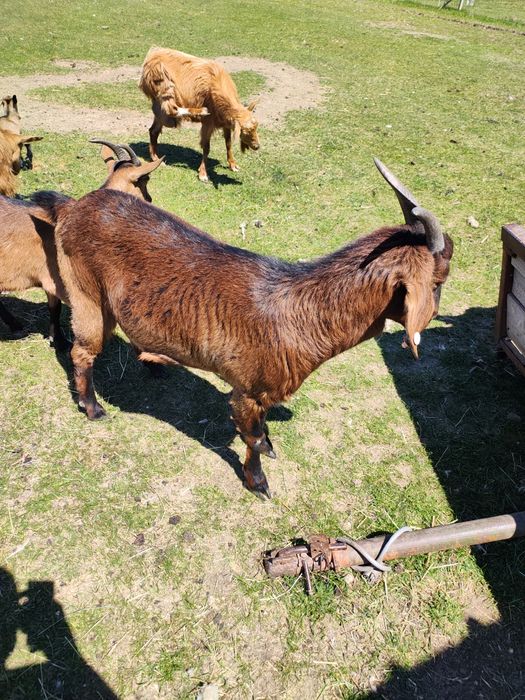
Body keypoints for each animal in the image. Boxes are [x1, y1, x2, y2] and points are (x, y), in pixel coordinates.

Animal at [0, 141, 163, 348]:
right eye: (145, 179)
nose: (149, 199)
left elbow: (54, 308)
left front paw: (57, 339)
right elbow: (58, 308)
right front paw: (60, 341)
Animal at [49, 159, 453, 499]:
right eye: (438, 281)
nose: (434, 314)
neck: (297, 314)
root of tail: (77, 206)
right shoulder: (247, 389)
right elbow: (253, 438)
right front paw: (258, 482)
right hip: (87, 294)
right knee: (82, 351)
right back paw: (92, 406)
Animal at [139, 47, 259, 182]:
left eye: (256, 128)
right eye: (245, 131)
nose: (257, 146)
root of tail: (152, 54)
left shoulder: (225, 122)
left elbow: (228, 143)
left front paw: (233, 165)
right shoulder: (208, 123)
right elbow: (206, 147)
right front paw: (203, 173)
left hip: (159, 108)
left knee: (153, 130)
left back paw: (155, 158)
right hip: (164, 87)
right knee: (171, 110)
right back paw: (200, 111)